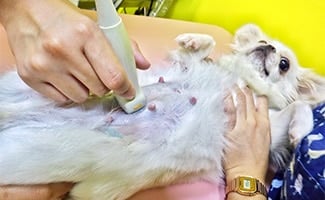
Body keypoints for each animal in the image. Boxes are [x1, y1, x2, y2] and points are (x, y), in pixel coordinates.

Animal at [0, 24, 324, 199]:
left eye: (284, 64)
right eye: (260, 42)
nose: (266, 47)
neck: (240, 80)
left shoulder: (265, 127)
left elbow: (297, 107)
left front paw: (300, 132)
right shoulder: (186, 66)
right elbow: (197, 51)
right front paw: (195, 40)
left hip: (26, 152)